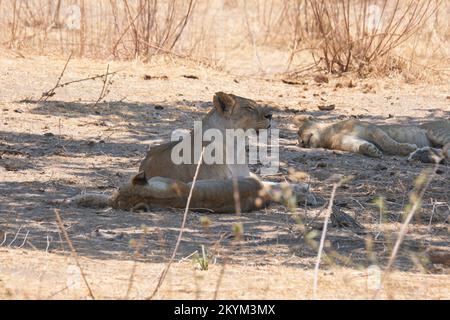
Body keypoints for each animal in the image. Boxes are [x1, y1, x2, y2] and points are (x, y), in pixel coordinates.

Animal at [70, 92, 316, 212]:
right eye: (248, 107)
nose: (271, 116)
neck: (235, 143)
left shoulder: (245, 178)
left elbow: (277, 184)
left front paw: (304, 190)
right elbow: (273, 189)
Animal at [296, 115, 450, 162]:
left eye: (300, 131)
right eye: (298, 141)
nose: (302, 143)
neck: (329, 133)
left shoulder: (371, 129)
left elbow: (388, 143)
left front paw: (407, 148)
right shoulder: (346, 142)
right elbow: (358, 146)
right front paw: (370, 150)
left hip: (436, 132)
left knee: (446, 148)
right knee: (443, 152)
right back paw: (422, 155)